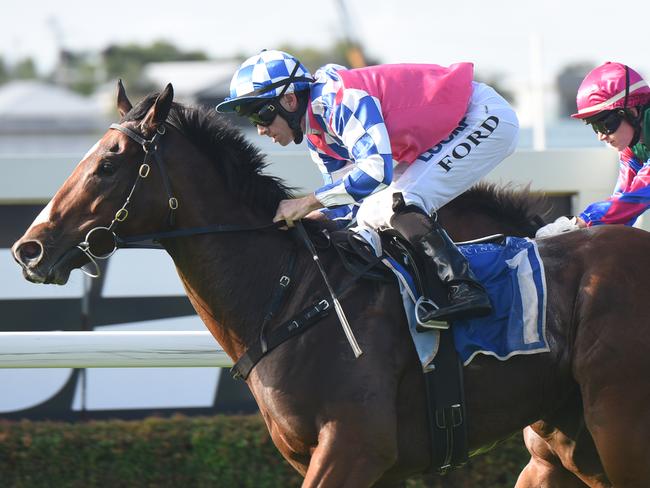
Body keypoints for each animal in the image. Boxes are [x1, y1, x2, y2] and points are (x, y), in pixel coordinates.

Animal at [11, 85, 648, 488]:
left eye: (108, 164)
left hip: (618, 424)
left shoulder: (354, 446)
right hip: (570, 440)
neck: (291, 297)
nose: (28, 249)